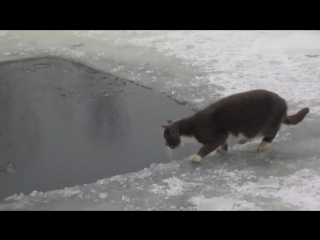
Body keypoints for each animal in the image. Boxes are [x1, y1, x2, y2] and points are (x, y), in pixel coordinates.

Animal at [162, 89, 310, 162]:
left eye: (167, 138)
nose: (165, 145)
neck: (190, 130)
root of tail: (284, 104)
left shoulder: (213, 135)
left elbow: (206, 147)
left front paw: (195, 157)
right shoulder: (222, 136)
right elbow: (223, 144)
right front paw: (222, 149)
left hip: (267, 124)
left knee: (272, 133)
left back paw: (263, 145)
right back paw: (243, 139)